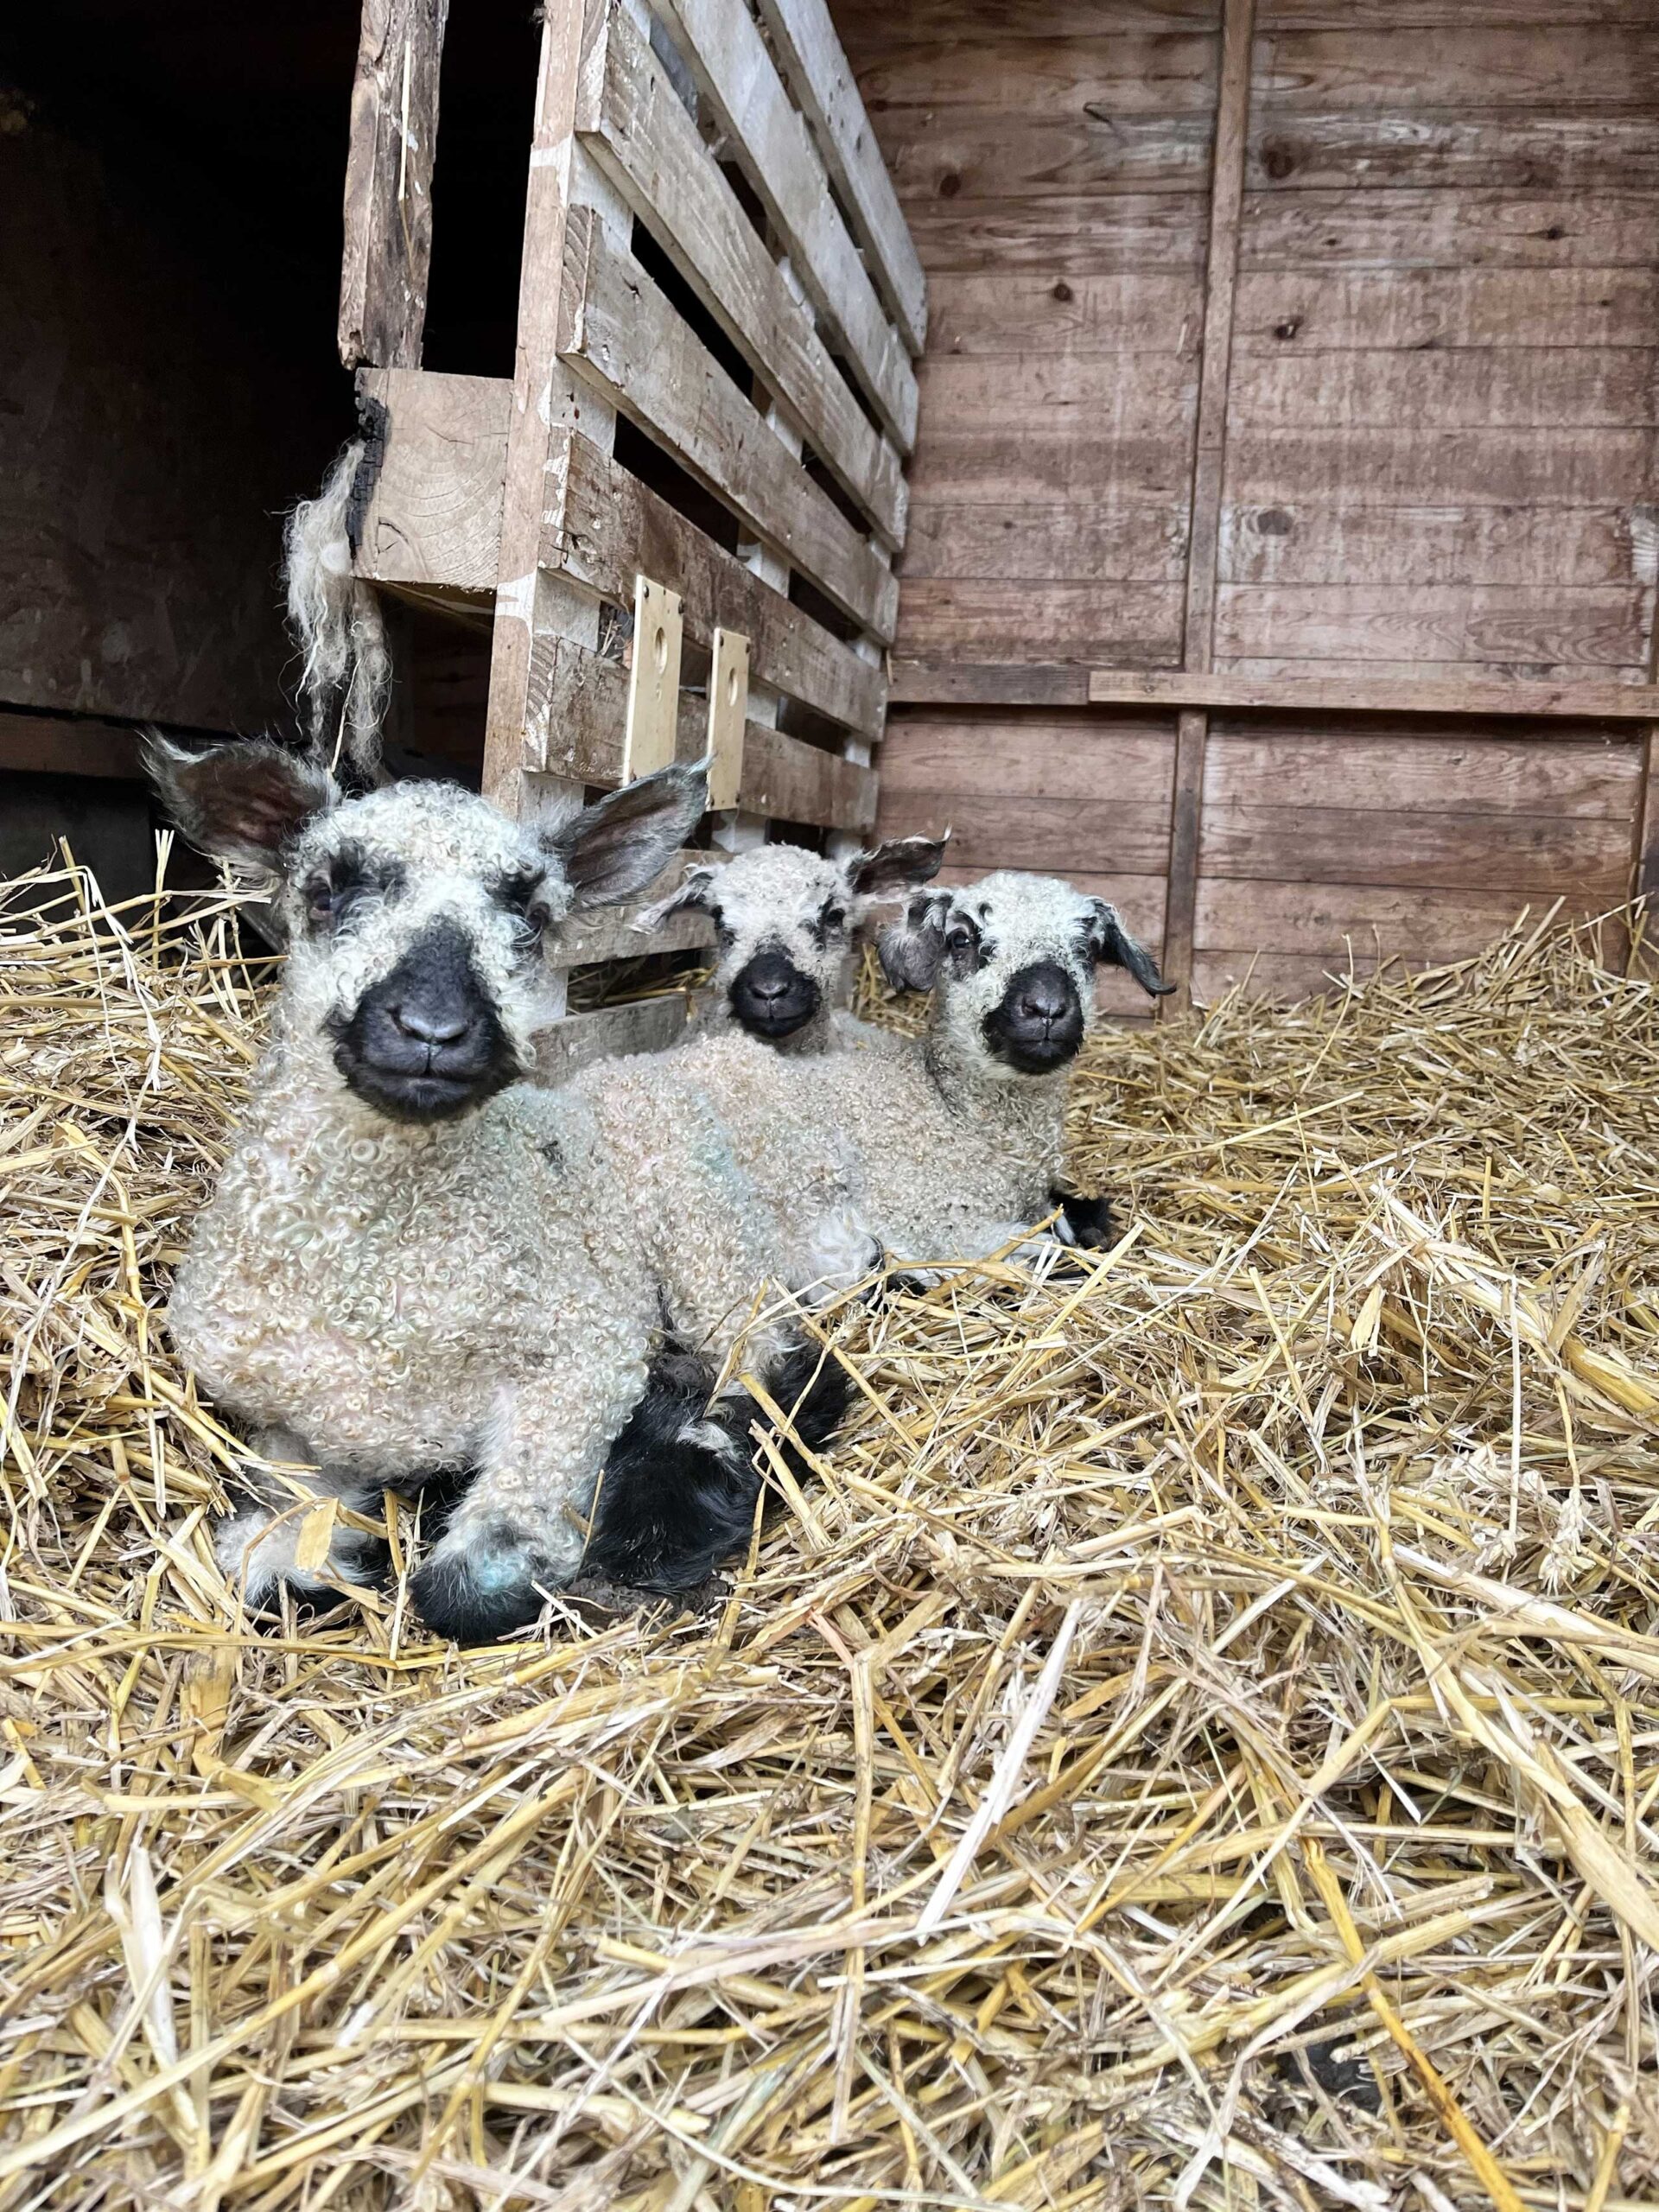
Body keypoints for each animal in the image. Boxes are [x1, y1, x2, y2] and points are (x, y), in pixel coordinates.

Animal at [144, 739, 849, 1645]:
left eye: (535, 917)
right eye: (327, 889)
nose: (434, 1030)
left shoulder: (586, 1360)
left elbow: (465, 1591)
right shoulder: (288, 1419)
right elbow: (262, 1569)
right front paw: (305, 1564)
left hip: (706, 1232)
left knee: (784, 1365)